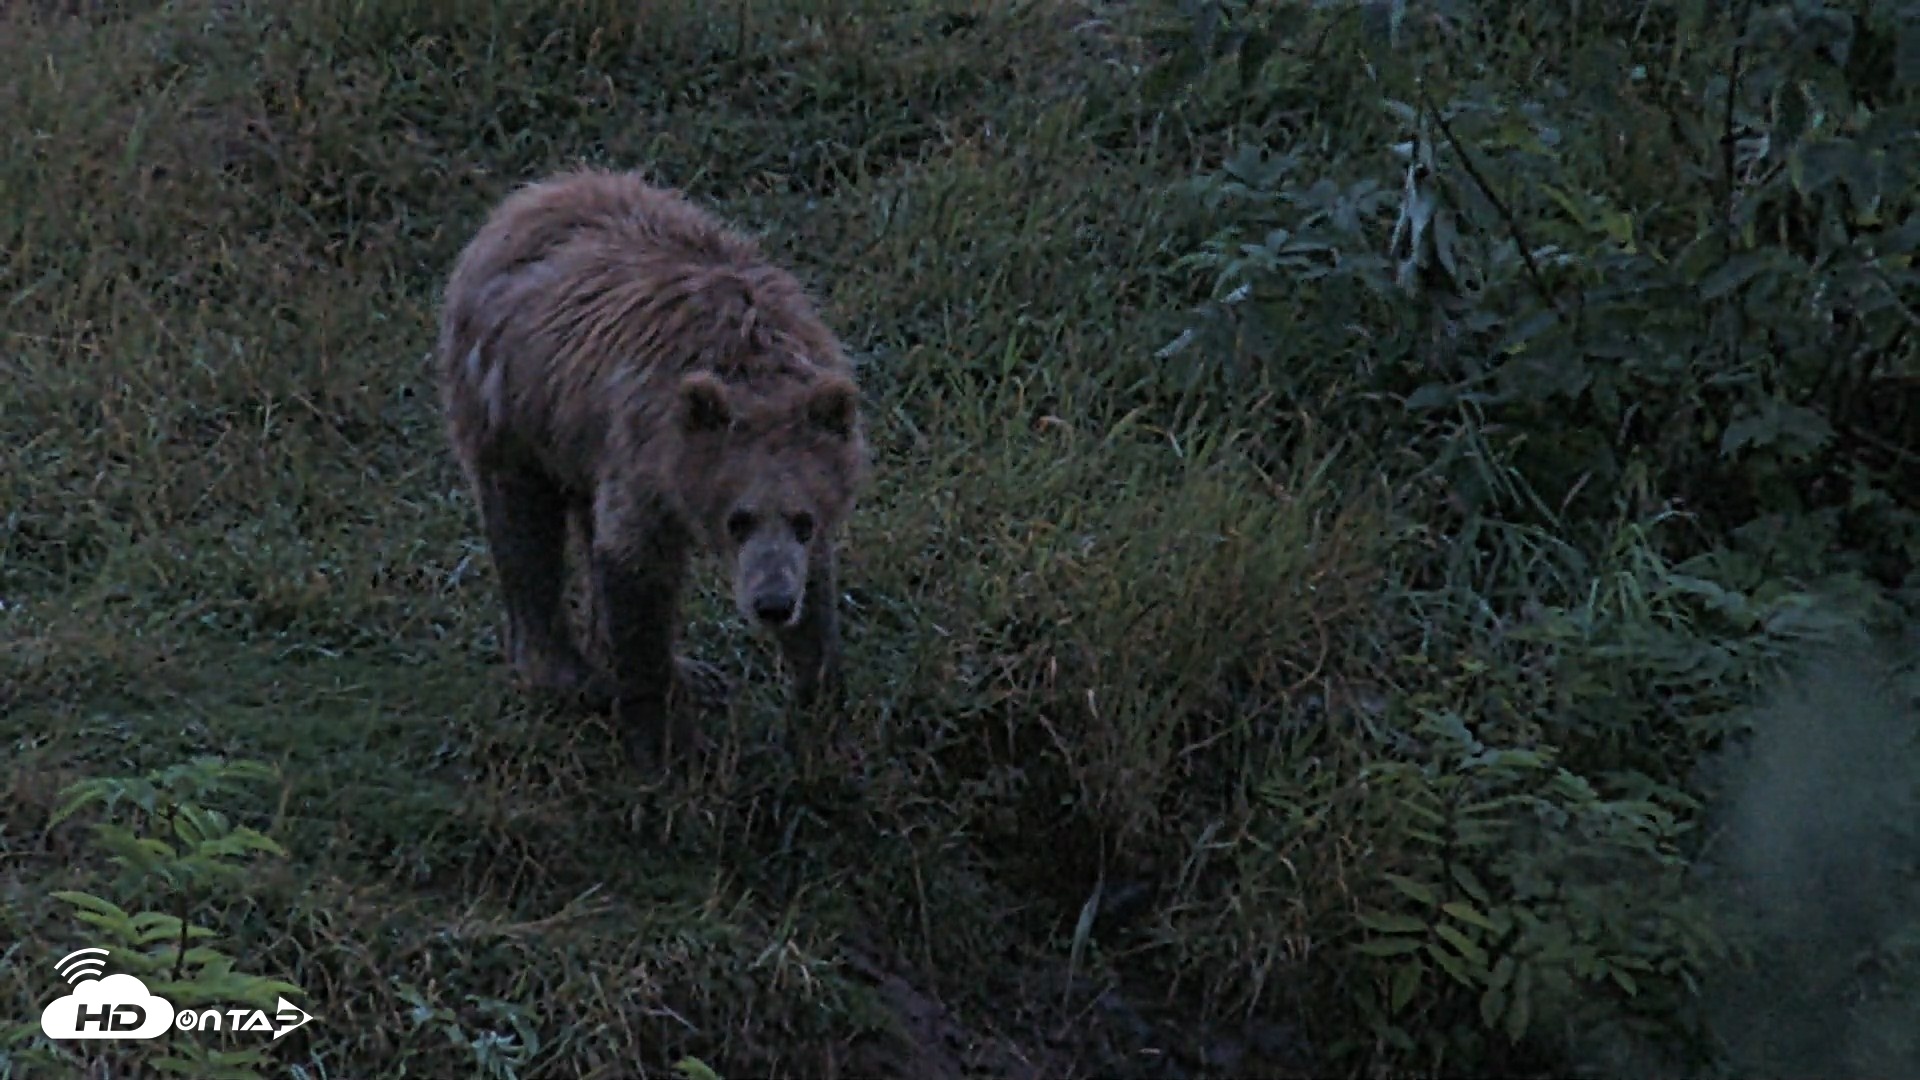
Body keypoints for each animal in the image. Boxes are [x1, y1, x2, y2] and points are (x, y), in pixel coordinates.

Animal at [434, 166, 868, 765]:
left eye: (805, 521)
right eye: (738, 519)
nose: (773, 604)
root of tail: (533, 194)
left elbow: (818, 602)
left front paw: (820, 714)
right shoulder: (642, 454)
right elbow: (634, 573)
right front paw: (669, 743)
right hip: (511, 406)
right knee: (525, 530)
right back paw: (572, 675)